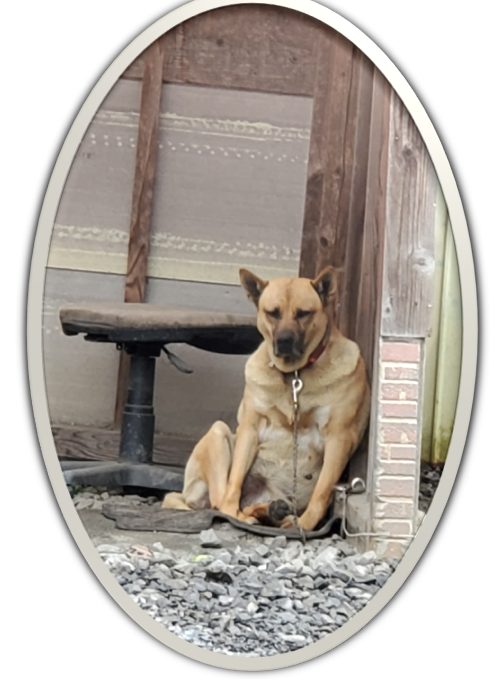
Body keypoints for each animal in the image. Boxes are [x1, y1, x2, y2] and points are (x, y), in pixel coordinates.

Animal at [162, 266, 371, 532]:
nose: (284, 341)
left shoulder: (338, 436)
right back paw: (247, 514)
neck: (294, 375)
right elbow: (234, 482)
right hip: (218, 434)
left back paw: (272, 512)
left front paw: (303, 525)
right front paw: (234, 512)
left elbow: (322, 493)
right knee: (219, 500)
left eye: (304, 313)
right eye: (272, 313)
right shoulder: (251, 428)